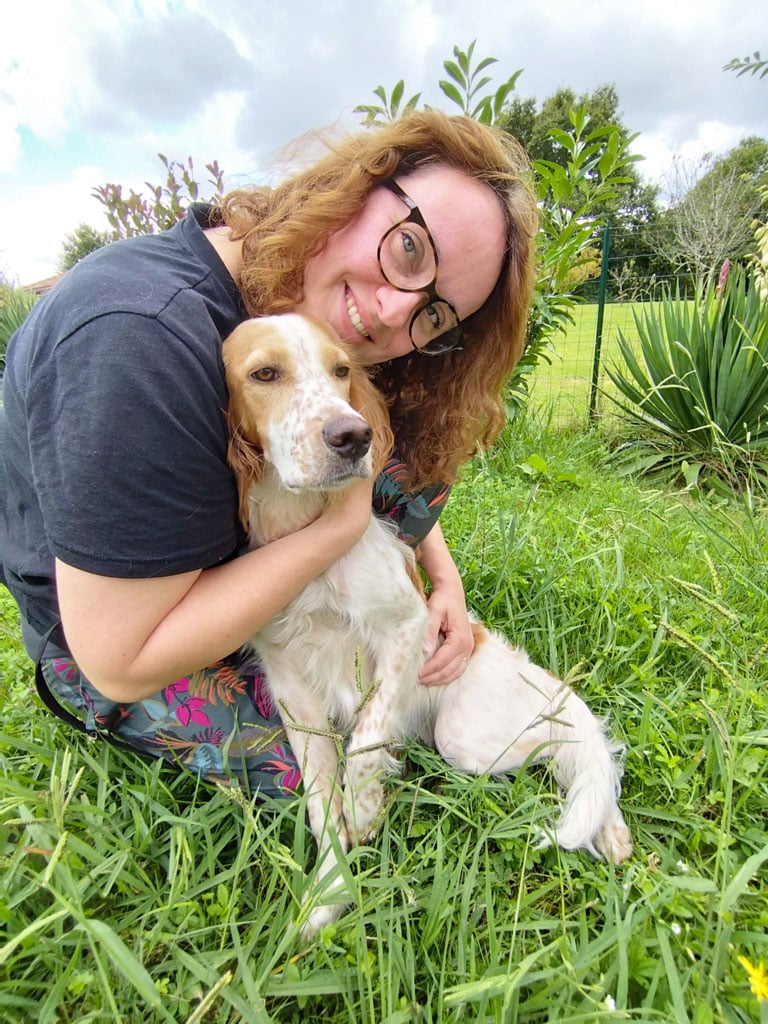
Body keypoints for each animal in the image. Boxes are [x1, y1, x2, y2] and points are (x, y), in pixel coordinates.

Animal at [221, 311, 630, 937]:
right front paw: (325, 898)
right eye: (264, 373)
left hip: (466, 739)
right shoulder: (290, 680)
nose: (353, 436)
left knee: (568, 746)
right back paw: (610, 830)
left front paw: (365, 809)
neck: (303, 532)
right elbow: (320, 802)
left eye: (341, 370)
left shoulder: (405, 625)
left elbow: (366, 741)